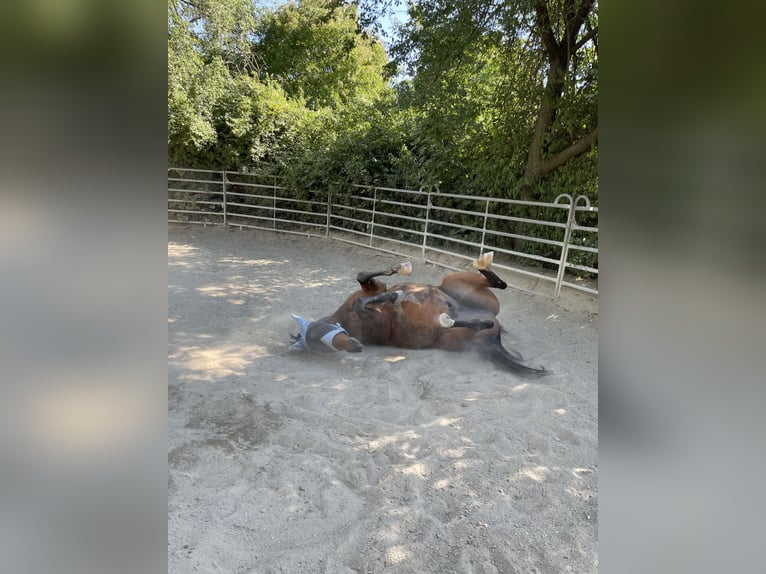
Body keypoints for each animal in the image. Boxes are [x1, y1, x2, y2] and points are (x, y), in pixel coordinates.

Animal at [289, 252, 548, 377]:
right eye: (323, 345)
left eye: (320, 333)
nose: (355, 346)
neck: (345, 319)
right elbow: (366, 301)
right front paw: (395, 296)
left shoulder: (372, 288)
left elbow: (363, 278)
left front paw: (400, 273)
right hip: (454, 333)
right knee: (473, 321)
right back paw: (452, 317)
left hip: (454, 282)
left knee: (497, 285)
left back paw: (482, 261)